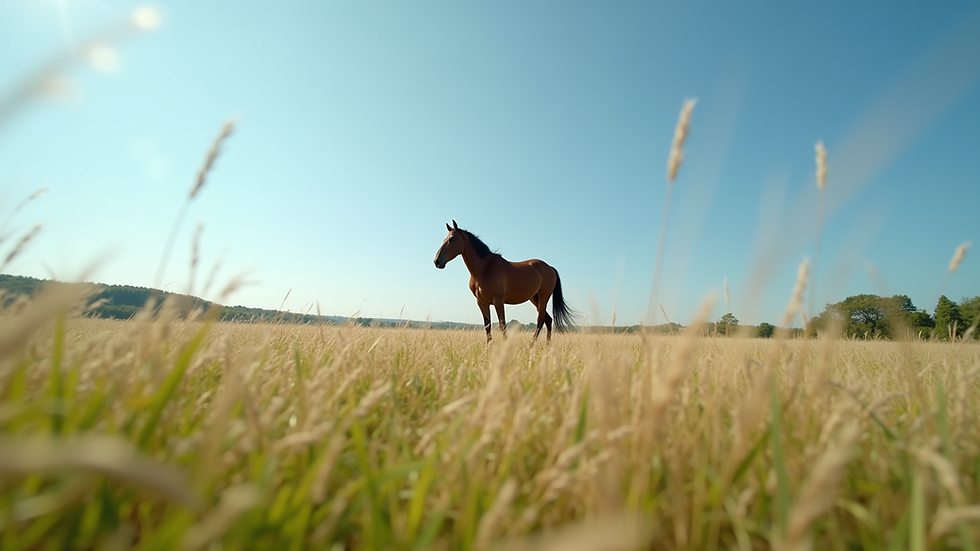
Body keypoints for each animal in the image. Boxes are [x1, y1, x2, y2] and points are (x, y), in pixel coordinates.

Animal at [433, 220, 576, 343]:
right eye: (444, 239)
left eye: (452, 238)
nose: (437, 261)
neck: (485, 268)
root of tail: (549, 267)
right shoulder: (482, 302)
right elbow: (487, 326)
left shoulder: (498, 300)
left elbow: (502, 325)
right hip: (535, 298)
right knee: (548, 320)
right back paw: (547, 346)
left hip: (543, 297)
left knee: (540, 320)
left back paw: (532, 345)